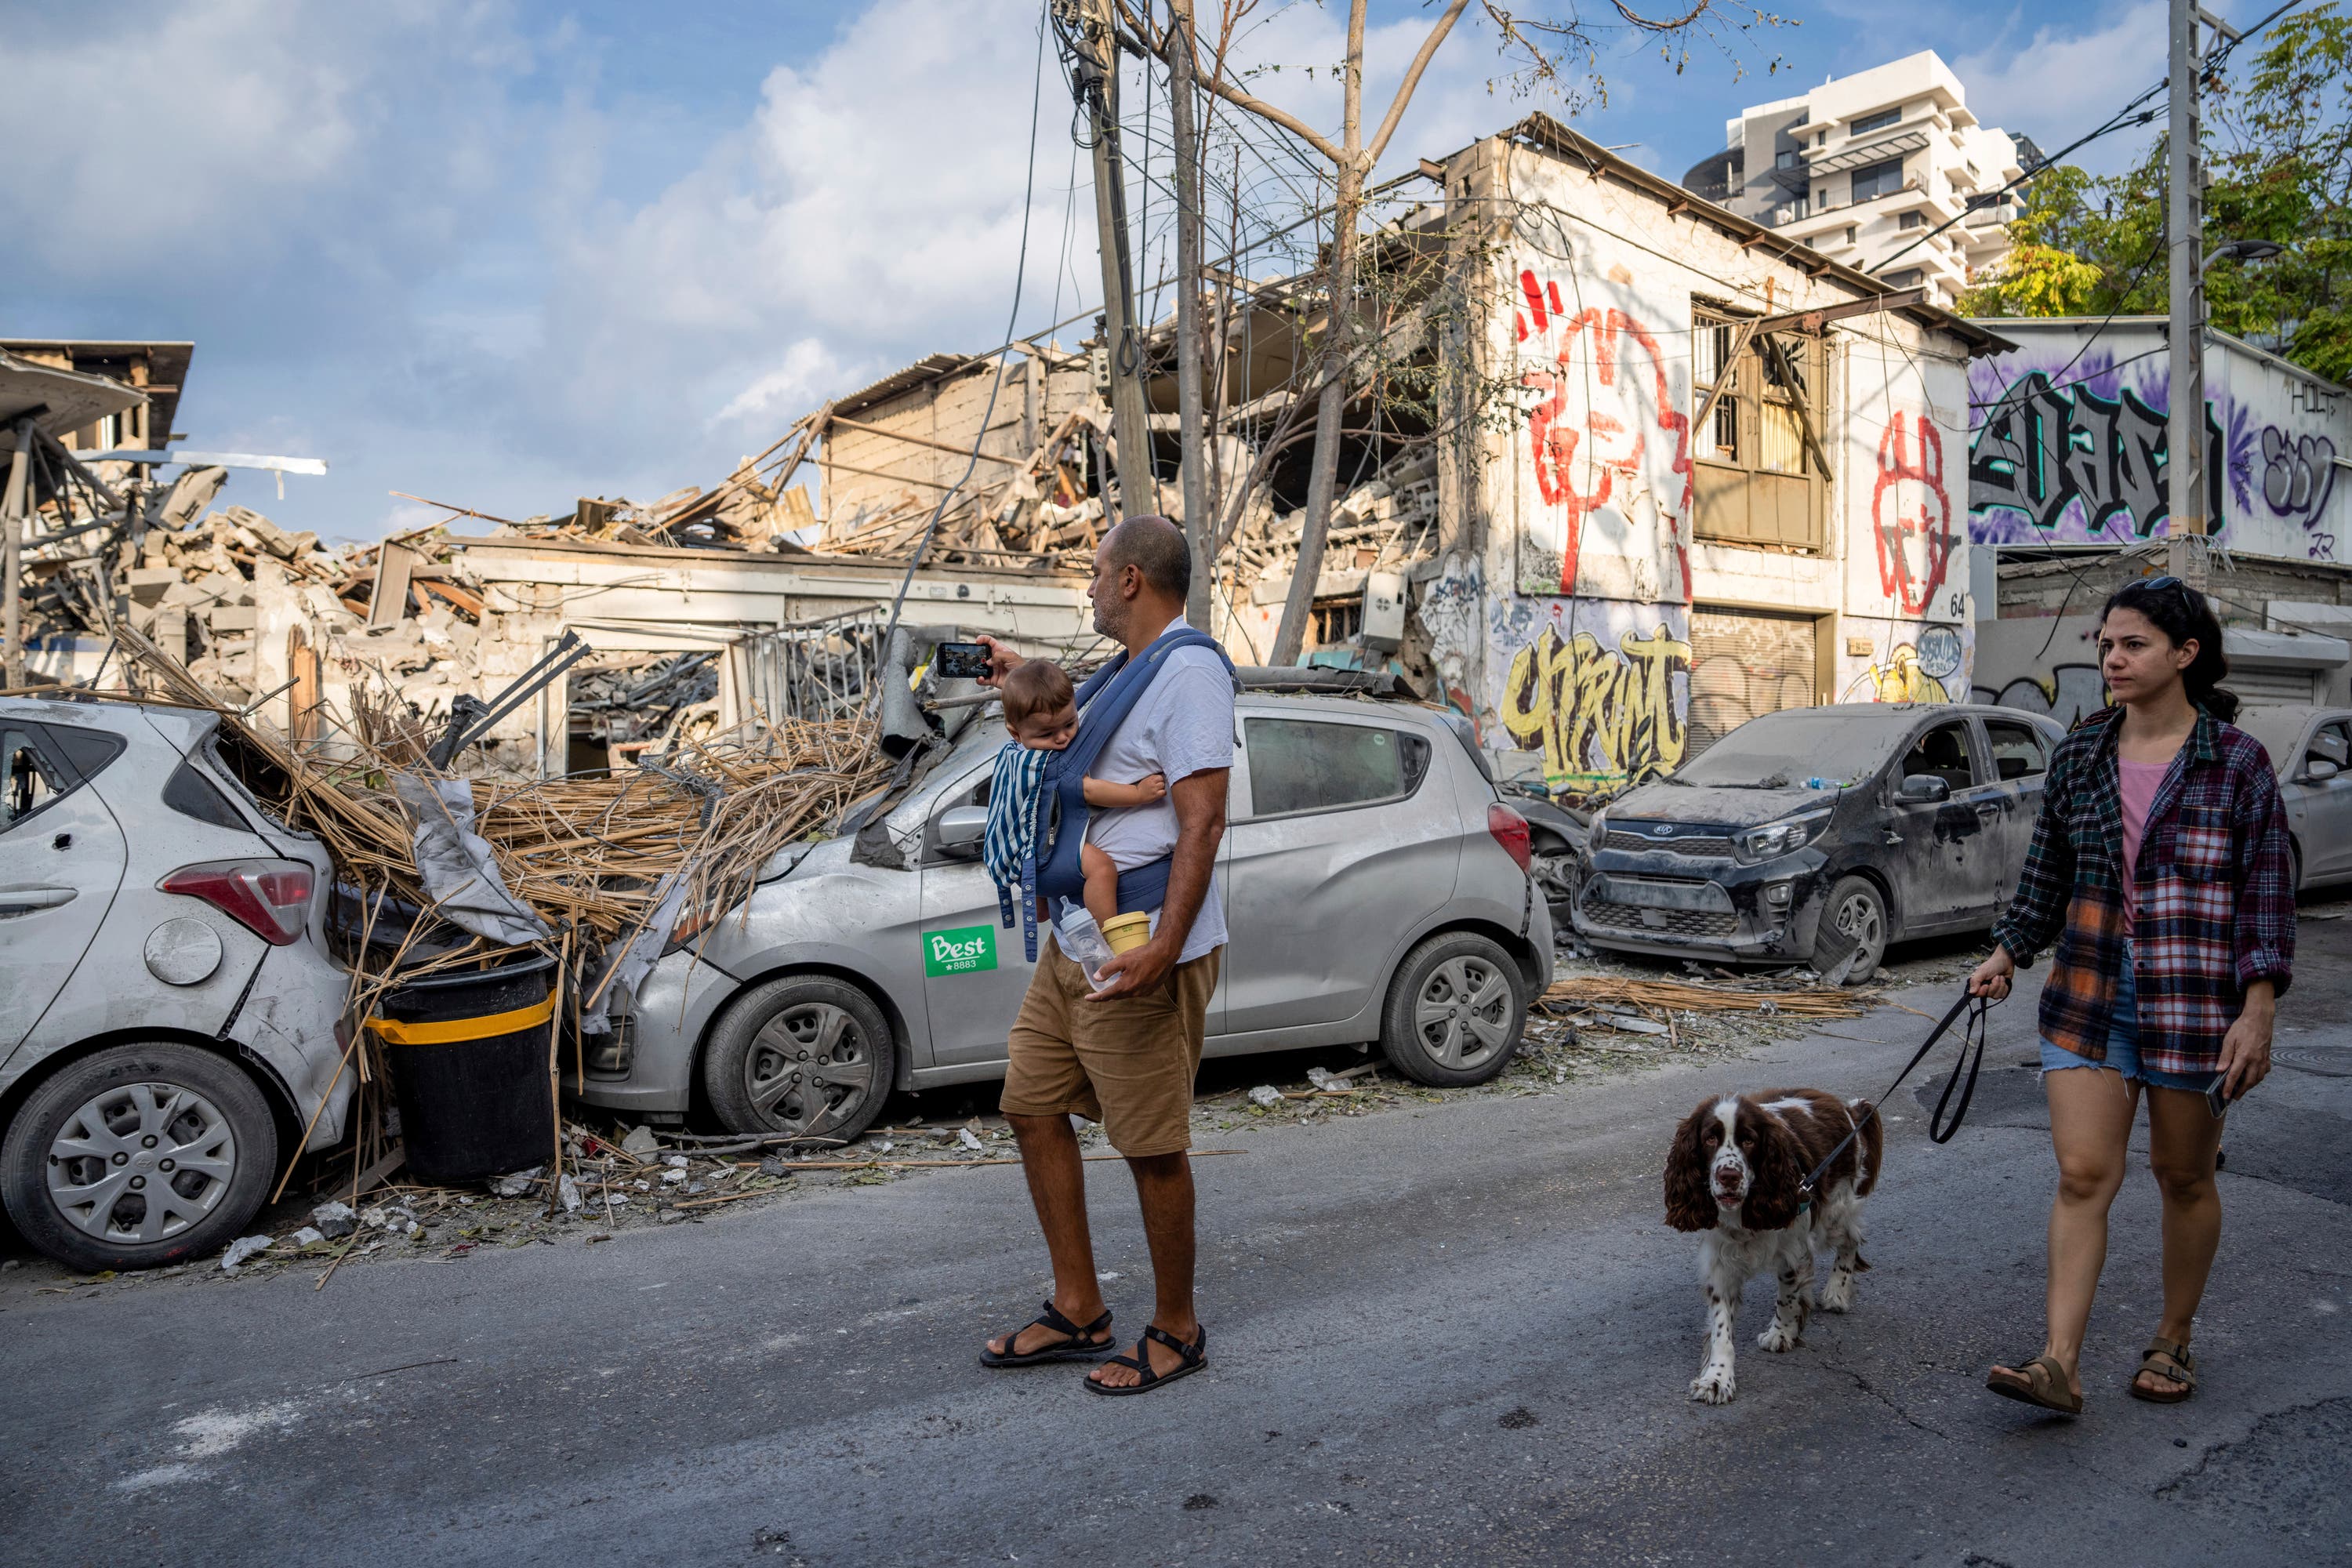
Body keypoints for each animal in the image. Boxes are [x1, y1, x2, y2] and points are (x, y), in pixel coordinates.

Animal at [1665, 1091, 1882, 1410]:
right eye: (1709, 1138)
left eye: (1749, 1140)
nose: (1728, 1176)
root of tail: (1844, 1106)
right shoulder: (1721, 1262)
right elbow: (1721, 1328)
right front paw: (1717, 1379)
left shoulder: (1792, 1247)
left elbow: (1787, 1297)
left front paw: (1781, 1333)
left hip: (1835, 1209)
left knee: (1850, 1240)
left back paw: (1837, 1293)